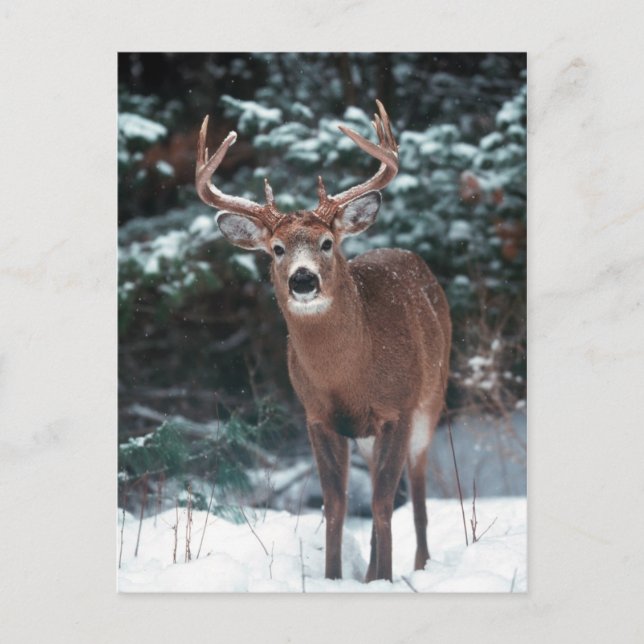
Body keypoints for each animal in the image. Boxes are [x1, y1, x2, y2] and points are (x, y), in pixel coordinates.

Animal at [195, 100, 451, 582]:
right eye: (277, 248)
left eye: (327, 242)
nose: (302, 279)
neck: (349, 377)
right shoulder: (316, 416)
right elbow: (335, 505)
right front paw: (337, 577)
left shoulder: (398, 409)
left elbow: (383, 503)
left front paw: (385, 579)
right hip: (368, 435)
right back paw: (368, 572)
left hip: (432, 400)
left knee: (419, 490)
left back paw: (419, 565)